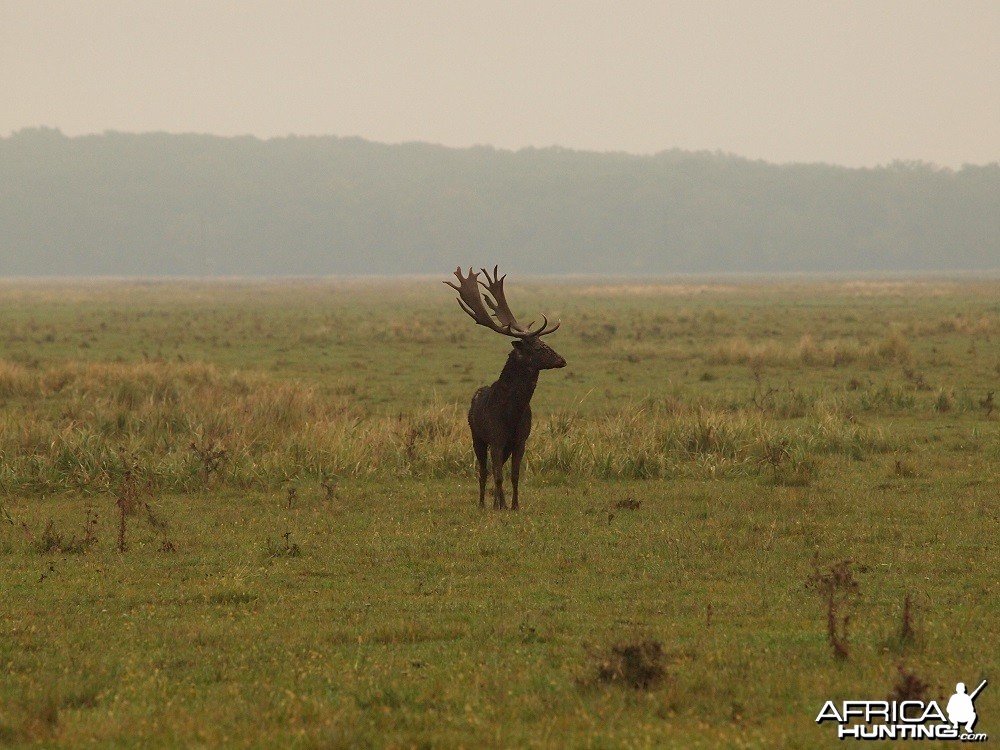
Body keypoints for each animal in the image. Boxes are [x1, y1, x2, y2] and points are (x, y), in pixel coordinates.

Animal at [450, 266, 568, 512]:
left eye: (545, 343)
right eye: (538, 348)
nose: (562, 360)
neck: (511, 414)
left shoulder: (520, 440)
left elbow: (513, 475)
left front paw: (514, 505)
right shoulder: (495, 438)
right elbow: (497, 475)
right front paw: (501, 505)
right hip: (477, 436)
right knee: (484, 472)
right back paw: (483, 503)